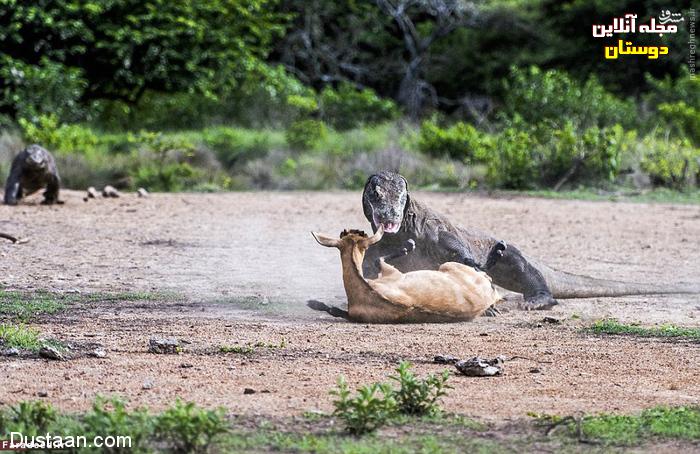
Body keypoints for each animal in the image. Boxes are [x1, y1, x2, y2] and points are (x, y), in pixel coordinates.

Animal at [310, 227, 504, 322]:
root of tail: (489, 293)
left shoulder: (391, 272)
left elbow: (378, 259)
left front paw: (408, 245)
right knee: (484, 272)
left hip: (448, 265)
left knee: (482, 269)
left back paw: (498, 250)